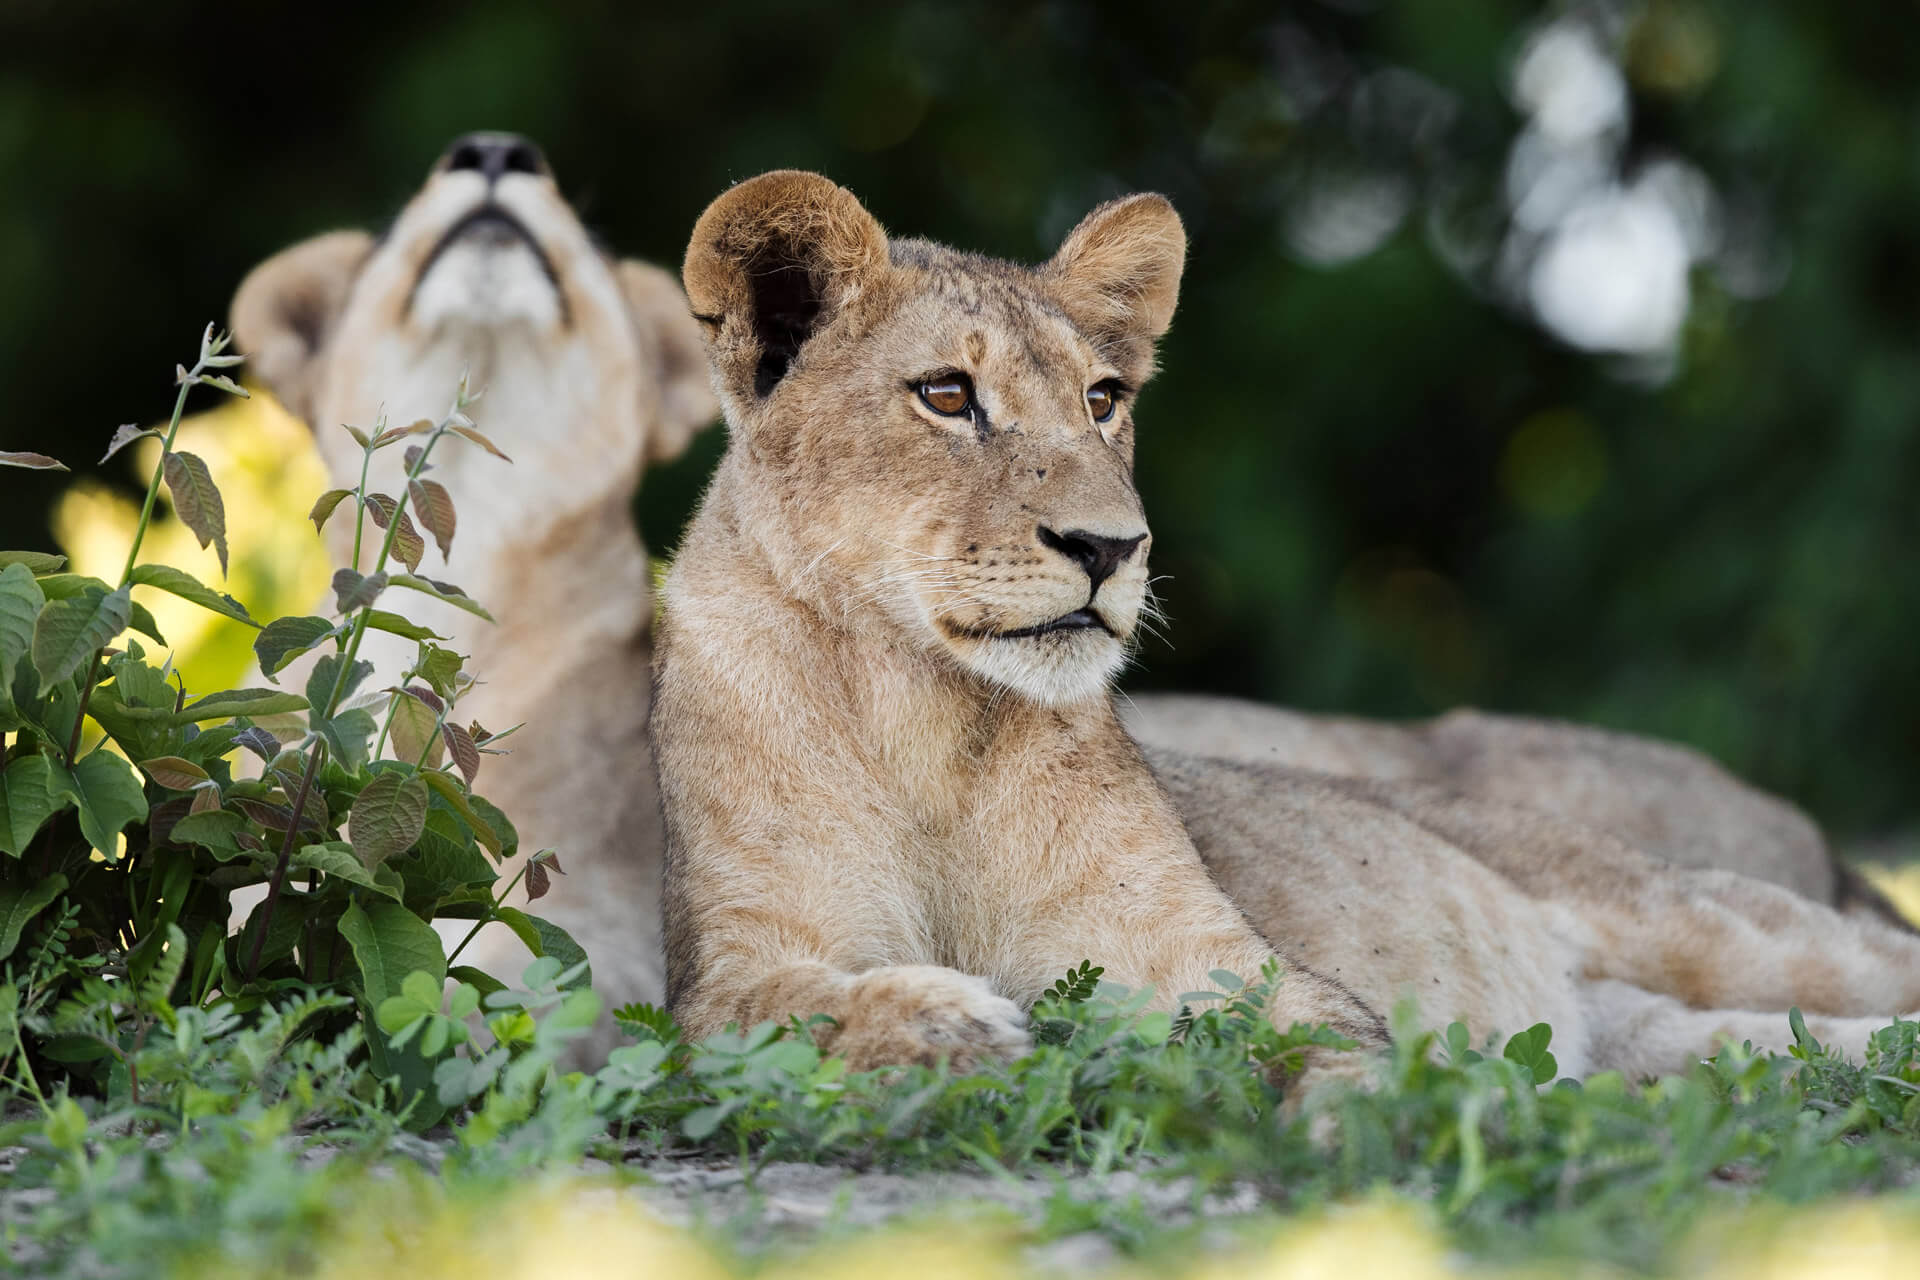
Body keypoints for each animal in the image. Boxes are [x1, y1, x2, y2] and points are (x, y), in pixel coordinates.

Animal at [656, 169, 1920, 1082]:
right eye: (946, 395)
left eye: (1103, 400)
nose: (1111, 547)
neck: (923, 713)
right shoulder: (727, 961)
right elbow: (773, 1011)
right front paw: (943, 1022)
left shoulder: (1211, 964)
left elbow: (1325, 1043)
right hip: (1655, 1037)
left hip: (1705, 917)